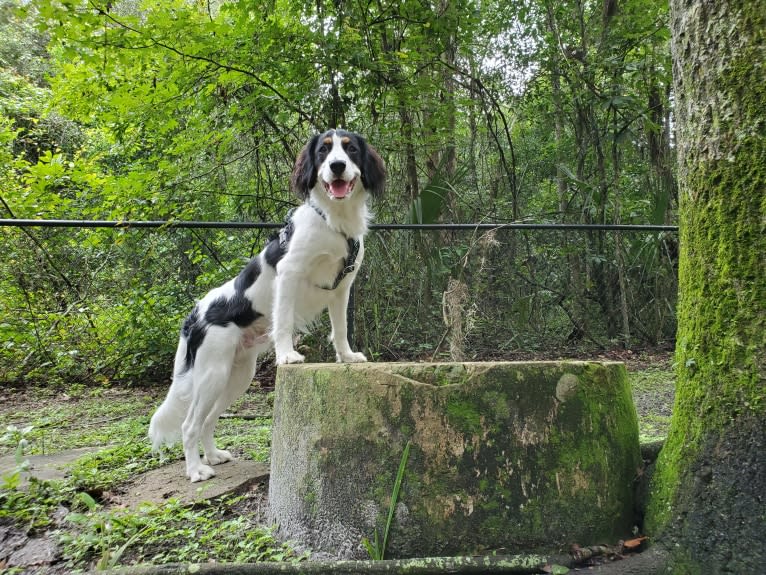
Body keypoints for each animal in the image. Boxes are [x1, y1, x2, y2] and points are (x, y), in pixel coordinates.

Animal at [149, 129, 388, 482]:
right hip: (212, 374)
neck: (334, 222)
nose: (338, 166)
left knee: (207, 420)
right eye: (323, 151)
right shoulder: (289, 274)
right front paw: (287, 355)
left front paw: (346, 357)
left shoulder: (342, 286)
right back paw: (196, 470)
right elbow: (284, 320)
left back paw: (214, 456)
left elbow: (341, 328)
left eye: (351, 149)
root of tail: (196, 313)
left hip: (236, 375)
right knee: (189, 424)